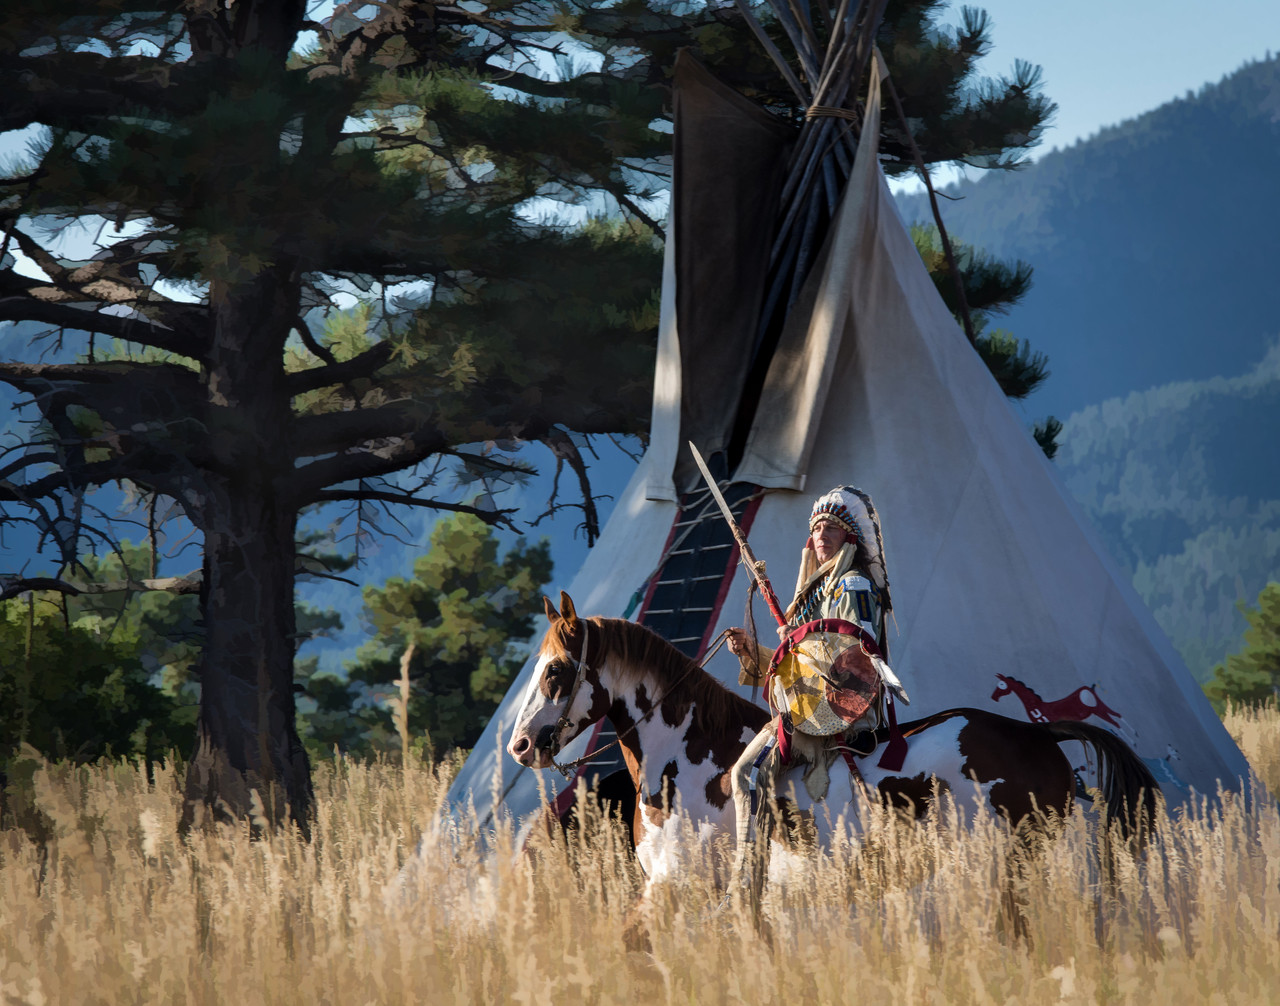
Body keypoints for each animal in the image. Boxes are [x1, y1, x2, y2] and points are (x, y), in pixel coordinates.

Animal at [506, 588, 1162, 895]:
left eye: (556, 671)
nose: (520, 747)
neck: (689, 764)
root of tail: (1035, 733)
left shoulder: (676, 887)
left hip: (1012, 860)